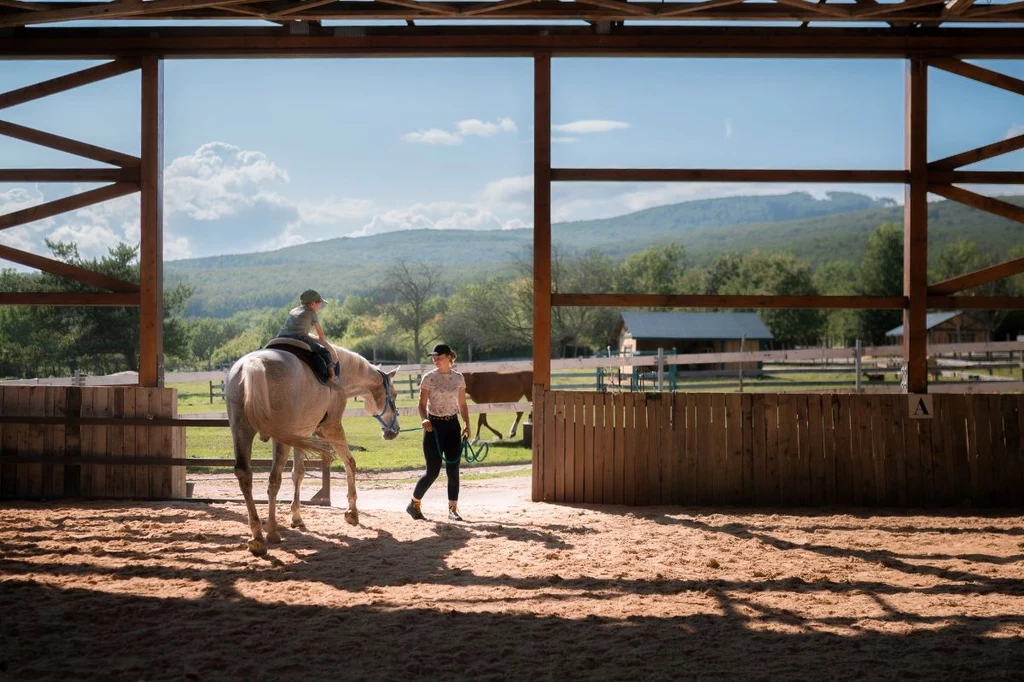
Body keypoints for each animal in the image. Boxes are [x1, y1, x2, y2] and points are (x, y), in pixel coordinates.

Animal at [227, 342, 399, 557]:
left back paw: (257, 535)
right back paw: (272, 532)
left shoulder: (300, 436)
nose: (394, 430)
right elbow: (350, 462)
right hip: (280, 439)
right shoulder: (331, 429)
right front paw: (352, 512)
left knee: (245, 475)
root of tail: (252, 365)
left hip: (242, 432)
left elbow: (298, 473)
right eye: (394, 395)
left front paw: (297, 517)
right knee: (274, 479)